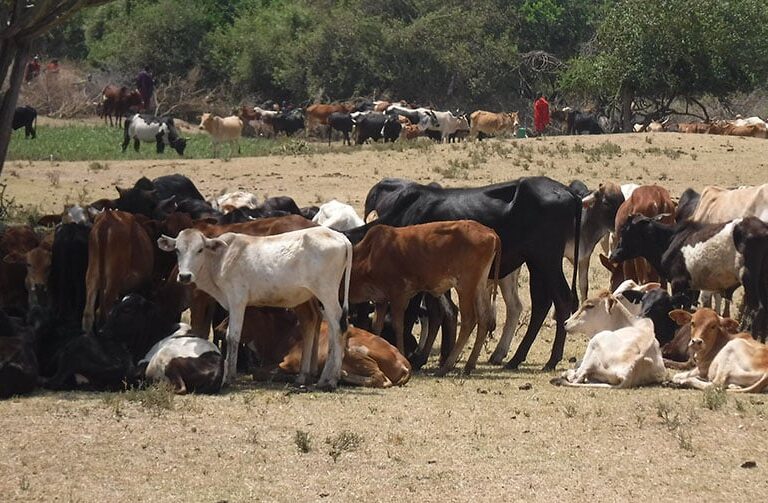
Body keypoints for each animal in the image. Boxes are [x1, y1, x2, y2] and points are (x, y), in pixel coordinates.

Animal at [350, 221, 504, 378]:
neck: (370, 255)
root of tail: (490, 232)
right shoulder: (381, 301)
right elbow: (376, 327)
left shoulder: (399, 296)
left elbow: (398, 327)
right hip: (480, 286)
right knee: (483, 320)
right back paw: (468, 366)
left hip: (465, 286)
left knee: (469, 320)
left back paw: (445, 367)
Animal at [366, 177, 584, 370]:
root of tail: (567, 191)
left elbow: (429, 312)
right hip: (536, 263)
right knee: (541, 303)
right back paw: (514, 359)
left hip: (547, 260)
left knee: (562, 299)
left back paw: (551, 360)